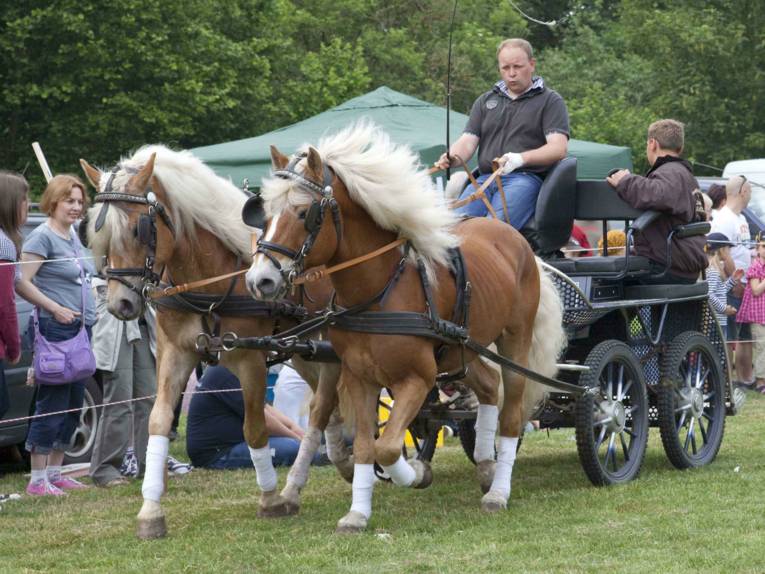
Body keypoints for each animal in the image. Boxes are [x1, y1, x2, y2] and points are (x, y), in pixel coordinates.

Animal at [79, 146, 352, 539]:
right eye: (95, 234)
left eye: (138, 229)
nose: (121, 305)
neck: (208, 278)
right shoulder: (174, 353)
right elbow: (158, 422)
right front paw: (150, 511)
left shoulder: (248, 359)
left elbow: (254, 428)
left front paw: (269, 499)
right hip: (303, 347)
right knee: (325, 403)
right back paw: (341, 460)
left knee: (321, 405)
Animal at [245, 121, 567, 533]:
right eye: (266, 213)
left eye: (304, 213)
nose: (260, 281)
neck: (379, 292)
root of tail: (517, 240)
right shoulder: (360, 378)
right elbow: (366, 446)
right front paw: (358, 513)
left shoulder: (418, 378)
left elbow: (386, 447)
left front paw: (415, 472)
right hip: (461, 350)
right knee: (487, 387)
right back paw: (485, 466)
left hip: (515, 342)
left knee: (511, 414)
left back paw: (498, 491)